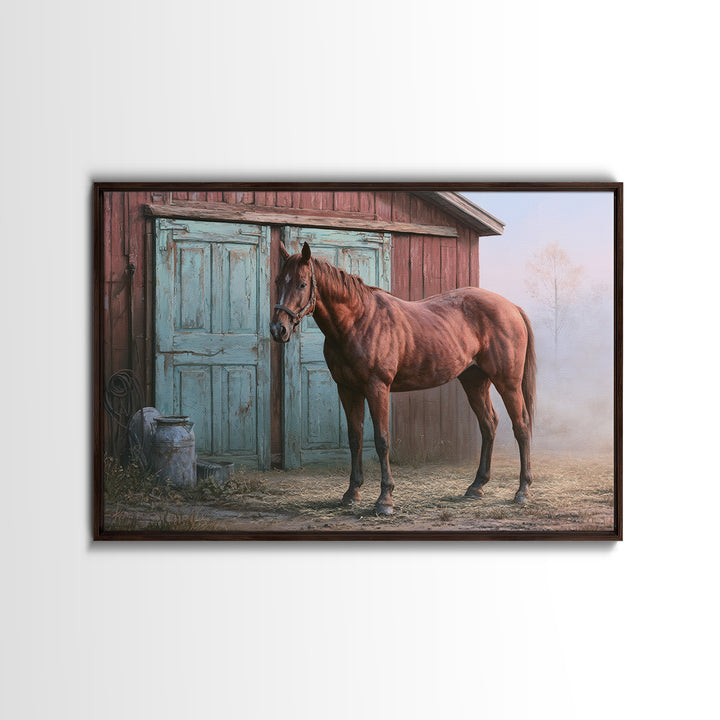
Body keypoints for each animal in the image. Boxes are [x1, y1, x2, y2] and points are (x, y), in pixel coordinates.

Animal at [270, 241, 536, 516]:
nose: (278, 329)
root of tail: (512, 307)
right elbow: (355, 438)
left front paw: (385, 499)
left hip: (508, 382)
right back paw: (477, 486)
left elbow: (382, 440)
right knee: (488, 424)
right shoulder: (347, 389)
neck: (358, 321)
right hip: (474, 381)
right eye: (278, 281)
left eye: (302, 284)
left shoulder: (377, 388)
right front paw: (352, 493)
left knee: (521, 425)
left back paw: (522, 490)